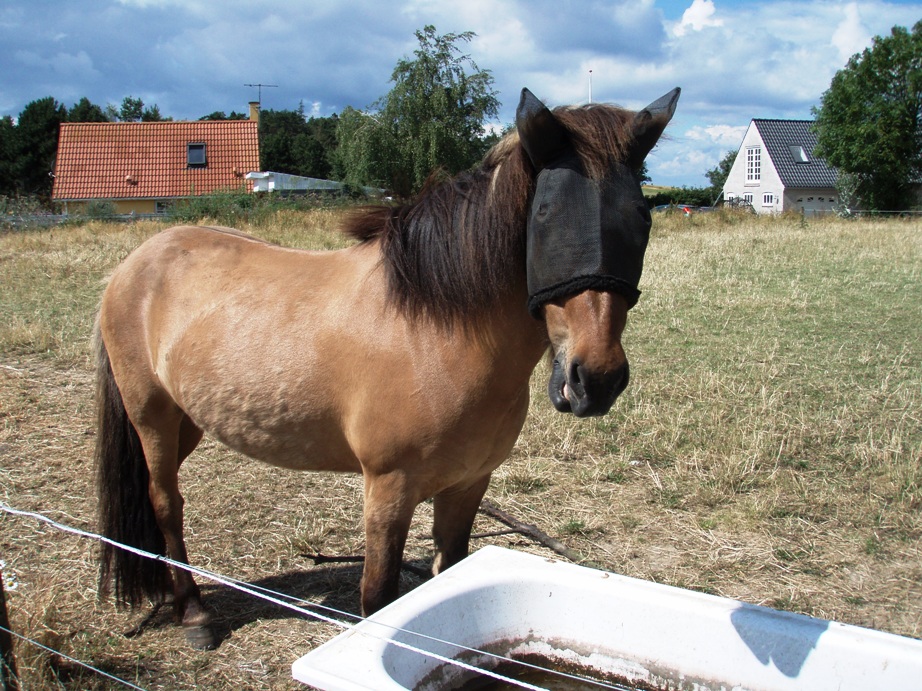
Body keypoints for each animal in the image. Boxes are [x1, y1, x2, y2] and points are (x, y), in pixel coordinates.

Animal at [95, 86, 676, 648]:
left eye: (643, 217)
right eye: (545, 216)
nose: (596, 379)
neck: (436, 332)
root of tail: (136, 262)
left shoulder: (468, 485)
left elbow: (449, 572)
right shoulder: (388, 491)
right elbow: (377, 598)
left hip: (188, 421)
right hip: (152, 416)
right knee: (166, 503)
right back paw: (194, 614)